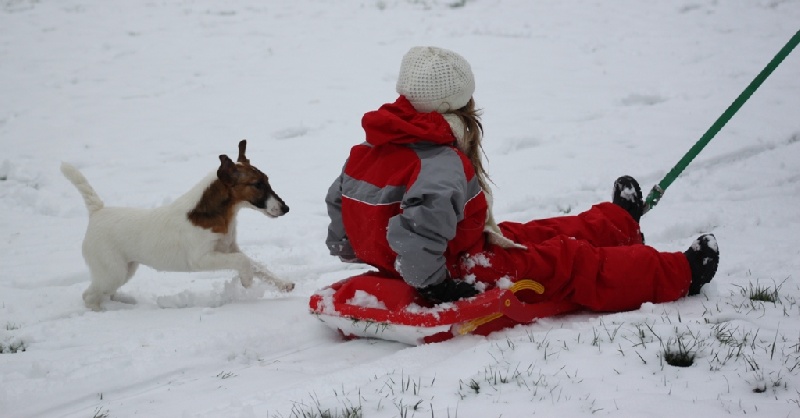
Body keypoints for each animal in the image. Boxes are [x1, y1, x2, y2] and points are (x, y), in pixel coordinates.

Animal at [61, 140, 294, 310]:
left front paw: (283, 284)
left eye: (267, 181)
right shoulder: (201, 259)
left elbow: (258, 266)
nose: (286, 208)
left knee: (104, 293)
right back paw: (104, 311)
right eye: (257, 185)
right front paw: (246, 281)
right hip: (112, 271)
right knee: (89, 296)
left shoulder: (229, 248)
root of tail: (97, 212)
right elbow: (243, 261)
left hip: (125, 269)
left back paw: (122, 303)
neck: (217, 217)